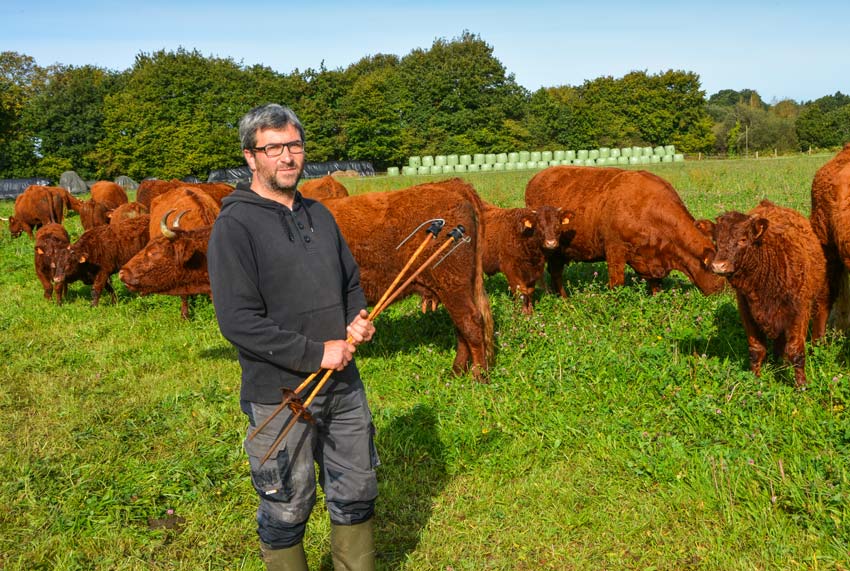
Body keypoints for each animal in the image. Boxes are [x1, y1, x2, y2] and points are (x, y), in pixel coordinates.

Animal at [322, 177, 496, 378]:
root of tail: (451, 184)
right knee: (462, 328)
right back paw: (456, 373)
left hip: (452, 286)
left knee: (471, 324)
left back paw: (479, 377)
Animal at [524, 165, 724, 298]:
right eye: (720, 272)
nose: (726, 296)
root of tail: (538, 176)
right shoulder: (615, 251)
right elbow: (616, 284)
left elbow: (656, 285)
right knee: (554, 272)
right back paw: (563, 299)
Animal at [696, 200, 828, 388]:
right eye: (716, 241)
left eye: (743, 239)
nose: (719, 266)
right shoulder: (747, 310)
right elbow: (756, 349)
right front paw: (754, 380)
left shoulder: (800, 311)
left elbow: (795, 350)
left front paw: (801, 386)